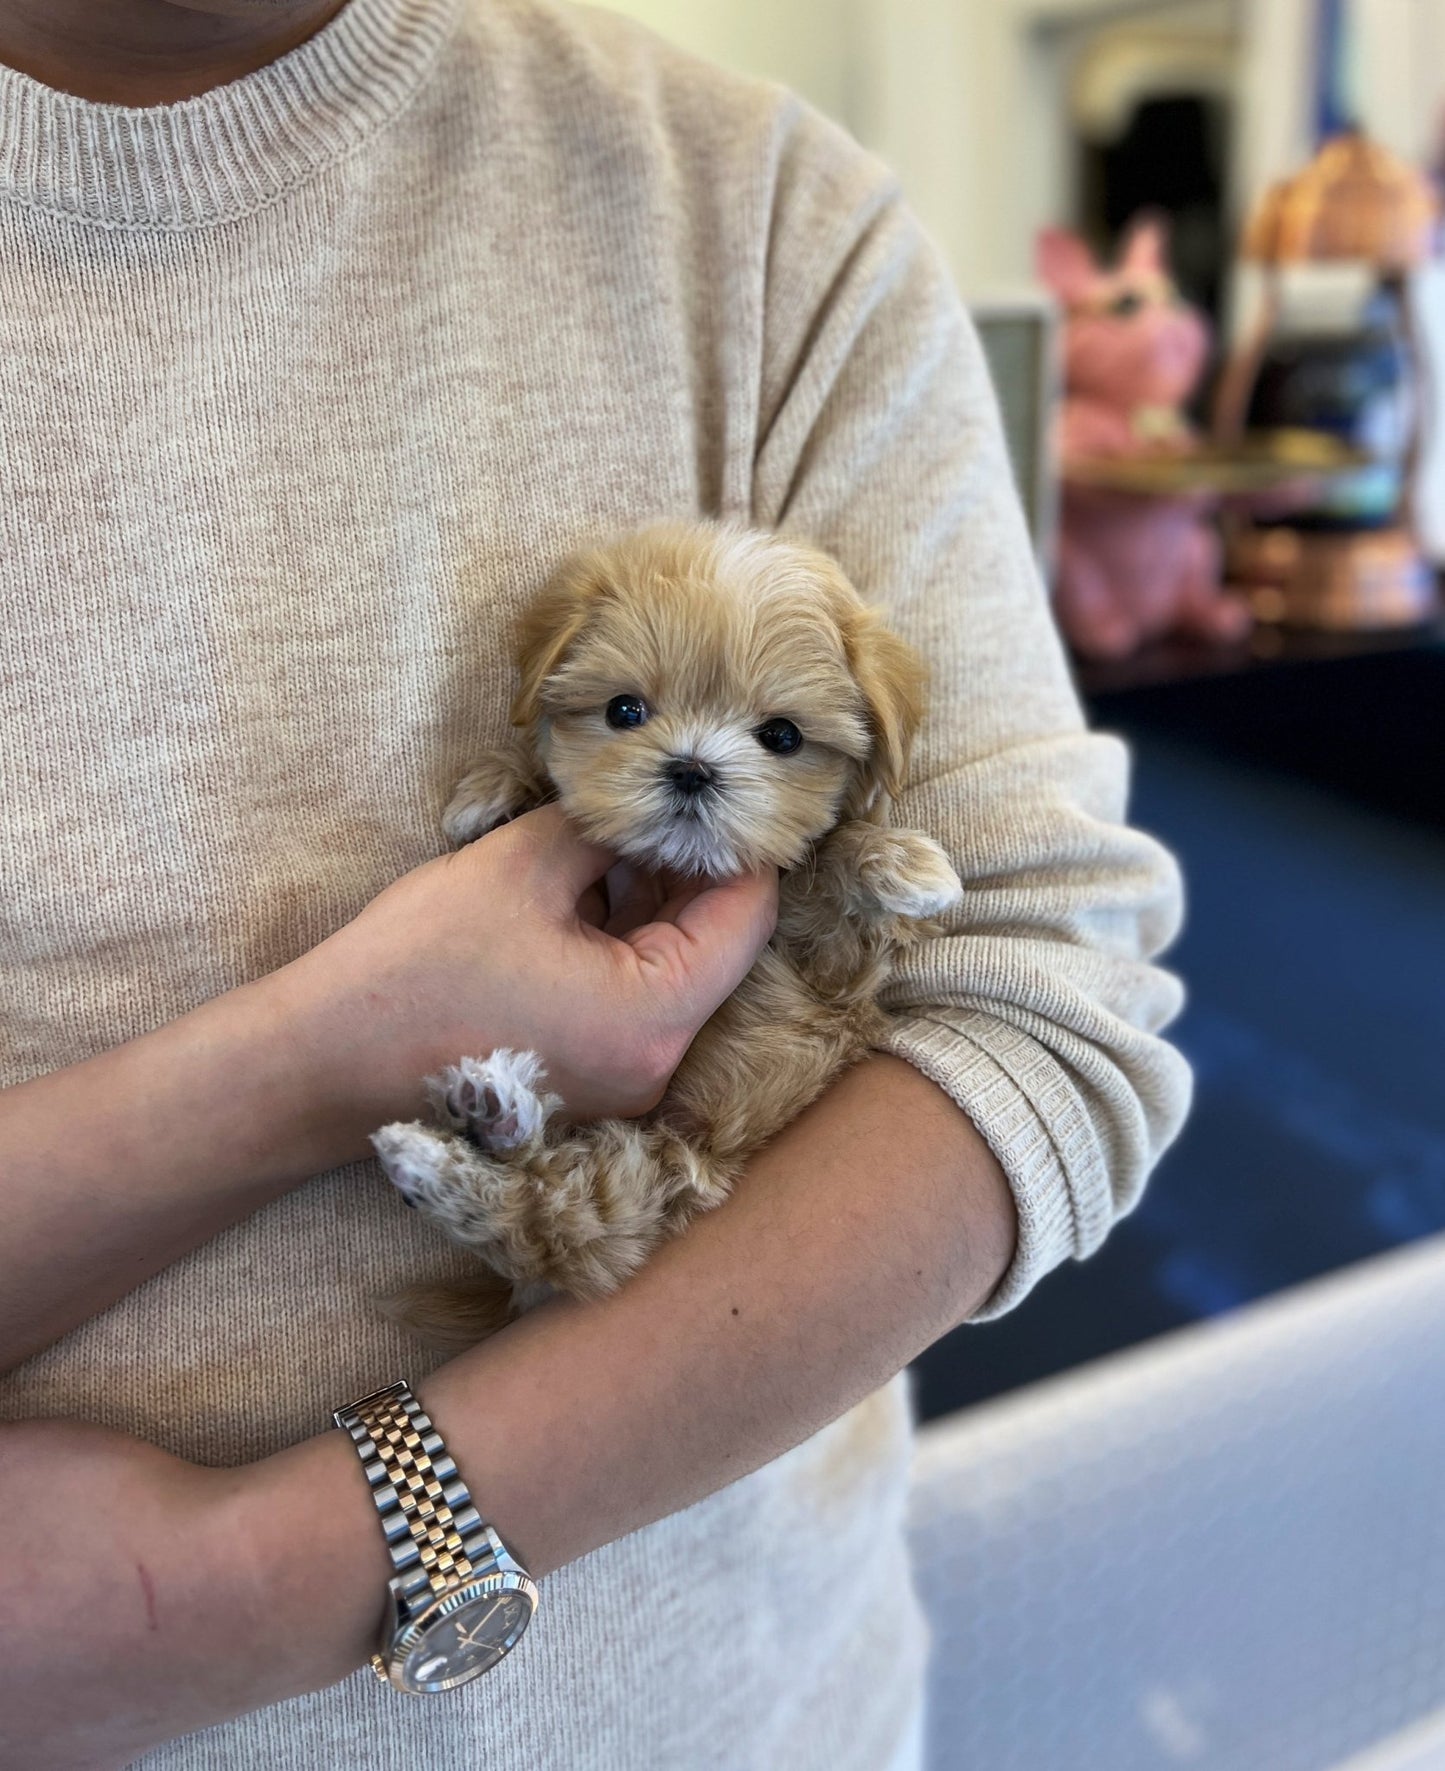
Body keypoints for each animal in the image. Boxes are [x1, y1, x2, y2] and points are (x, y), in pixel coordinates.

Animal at [371, 520, 956, 1338]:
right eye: (624, 712)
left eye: (782, 736)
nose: (691, 767)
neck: (678, 872)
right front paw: (492, 791)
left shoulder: (835, 965)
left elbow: (825, 869)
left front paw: (902, 863)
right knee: (548, 1222)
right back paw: (477, 1127)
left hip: (660, 1178)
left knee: (558, 1221)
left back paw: (476, 1131)